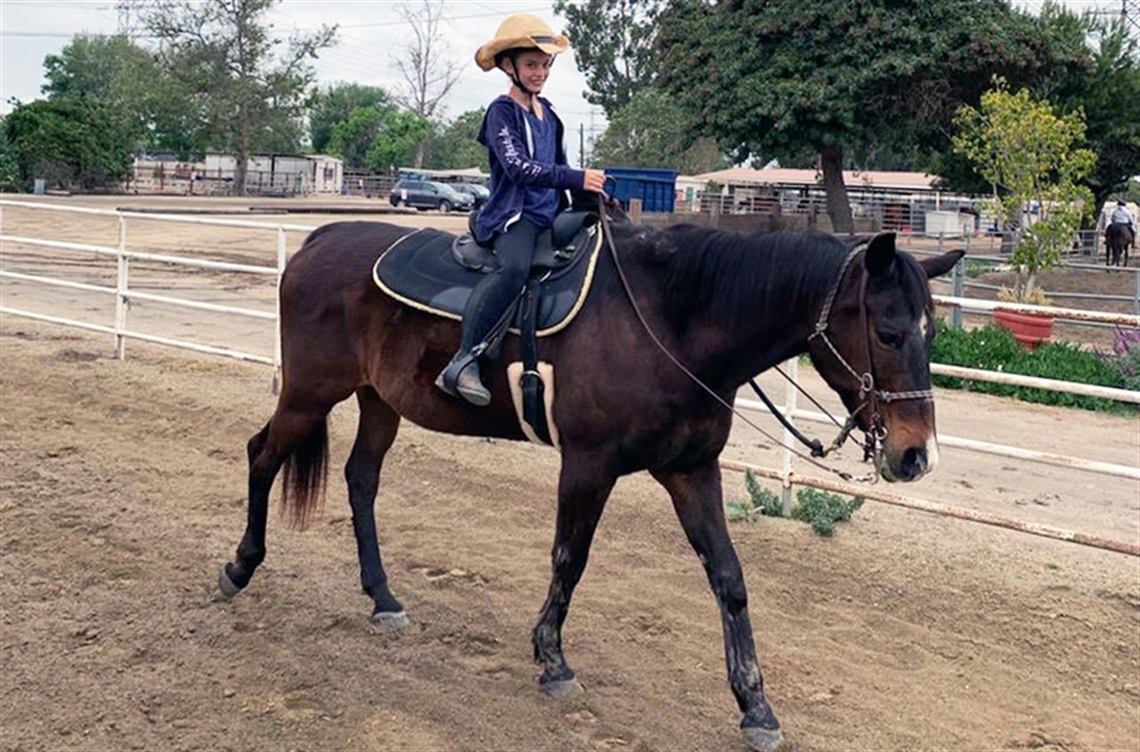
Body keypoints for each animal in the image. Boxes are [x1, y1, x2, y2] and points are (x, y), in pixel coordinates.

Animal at [220, 218, 962, 752]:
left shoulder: (691, 470)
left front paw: (755, 704)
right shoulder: (587, 464)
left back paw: (382, 597)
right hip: (310, 394)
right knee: (262, 456)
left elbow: (729, 577)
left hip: (379, 402)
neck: (670, 324)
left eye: (930, 332)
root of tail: (320, 241)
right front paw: (552, 660)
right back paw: (238, 568)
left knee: (361, 480)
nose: (915, 455)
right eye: (889, 332)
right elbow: (569, 560)